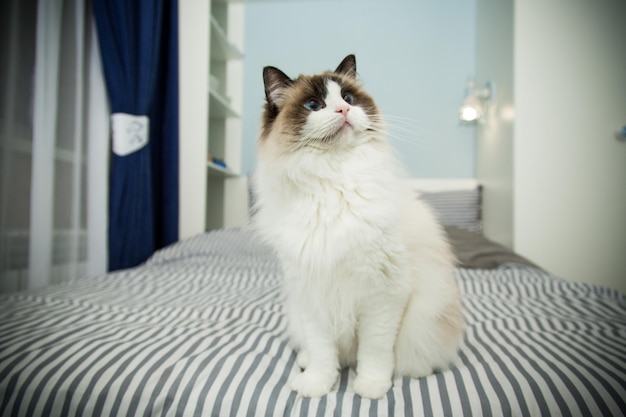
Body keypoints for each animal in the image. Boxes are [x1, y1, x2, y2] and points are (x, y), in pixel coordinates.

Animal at [254, 53, 464, 398]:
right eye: (314, 105)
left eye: (349, 99)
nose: (343, 110)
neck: (334, 183)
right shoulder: (312, 295)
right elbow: (323, 355)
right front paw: (316, 386)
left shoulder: (383, 296)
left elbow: (374, 353)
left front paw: (370, 387)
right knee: (317, 351)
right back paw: (305, 363)